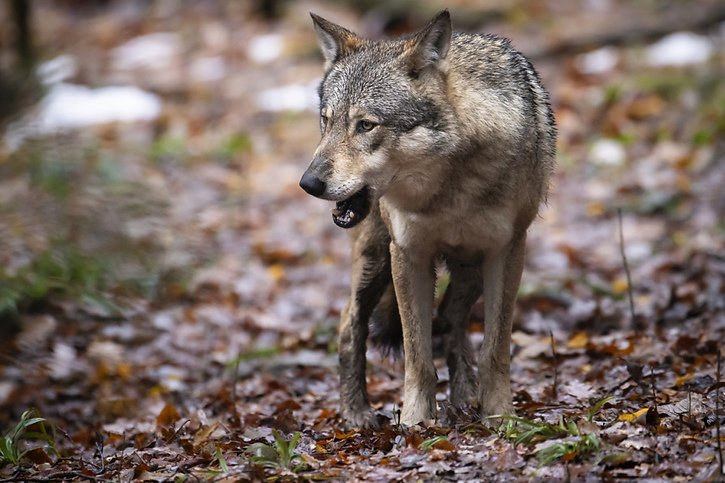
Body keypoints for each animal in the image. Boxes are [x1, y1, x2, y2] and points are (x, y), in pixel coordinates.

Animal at [298, 10, 556, 428]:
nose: (308, 183)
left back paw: (465, 396)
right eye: (326, 121)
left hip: (469, 271)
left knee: (450, 319)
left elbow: (495, 349)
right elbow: (417, 357)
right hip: (375, 262)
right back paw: (356, 414)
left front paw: (500, 416)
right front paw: (416, 424)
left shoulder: (507, 252)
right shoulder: (408, 254)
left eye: (365, 125)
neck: (448, 189)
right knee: (349, 325)